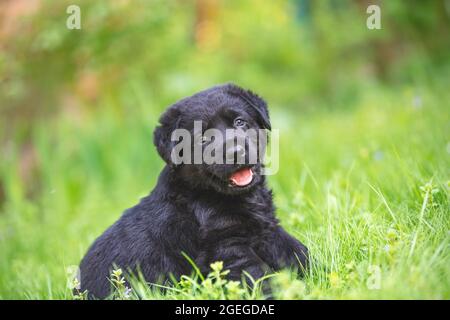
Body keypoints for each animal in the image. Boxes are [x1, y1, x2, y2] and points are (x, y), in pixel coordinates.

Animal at [79, 84, 308, 298]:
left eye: (239, 122)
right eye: (203, 138)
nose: (235, 152)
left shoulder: (267, 228)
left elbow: (295, 250)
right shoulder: (226, 247)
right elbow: (258, 274)